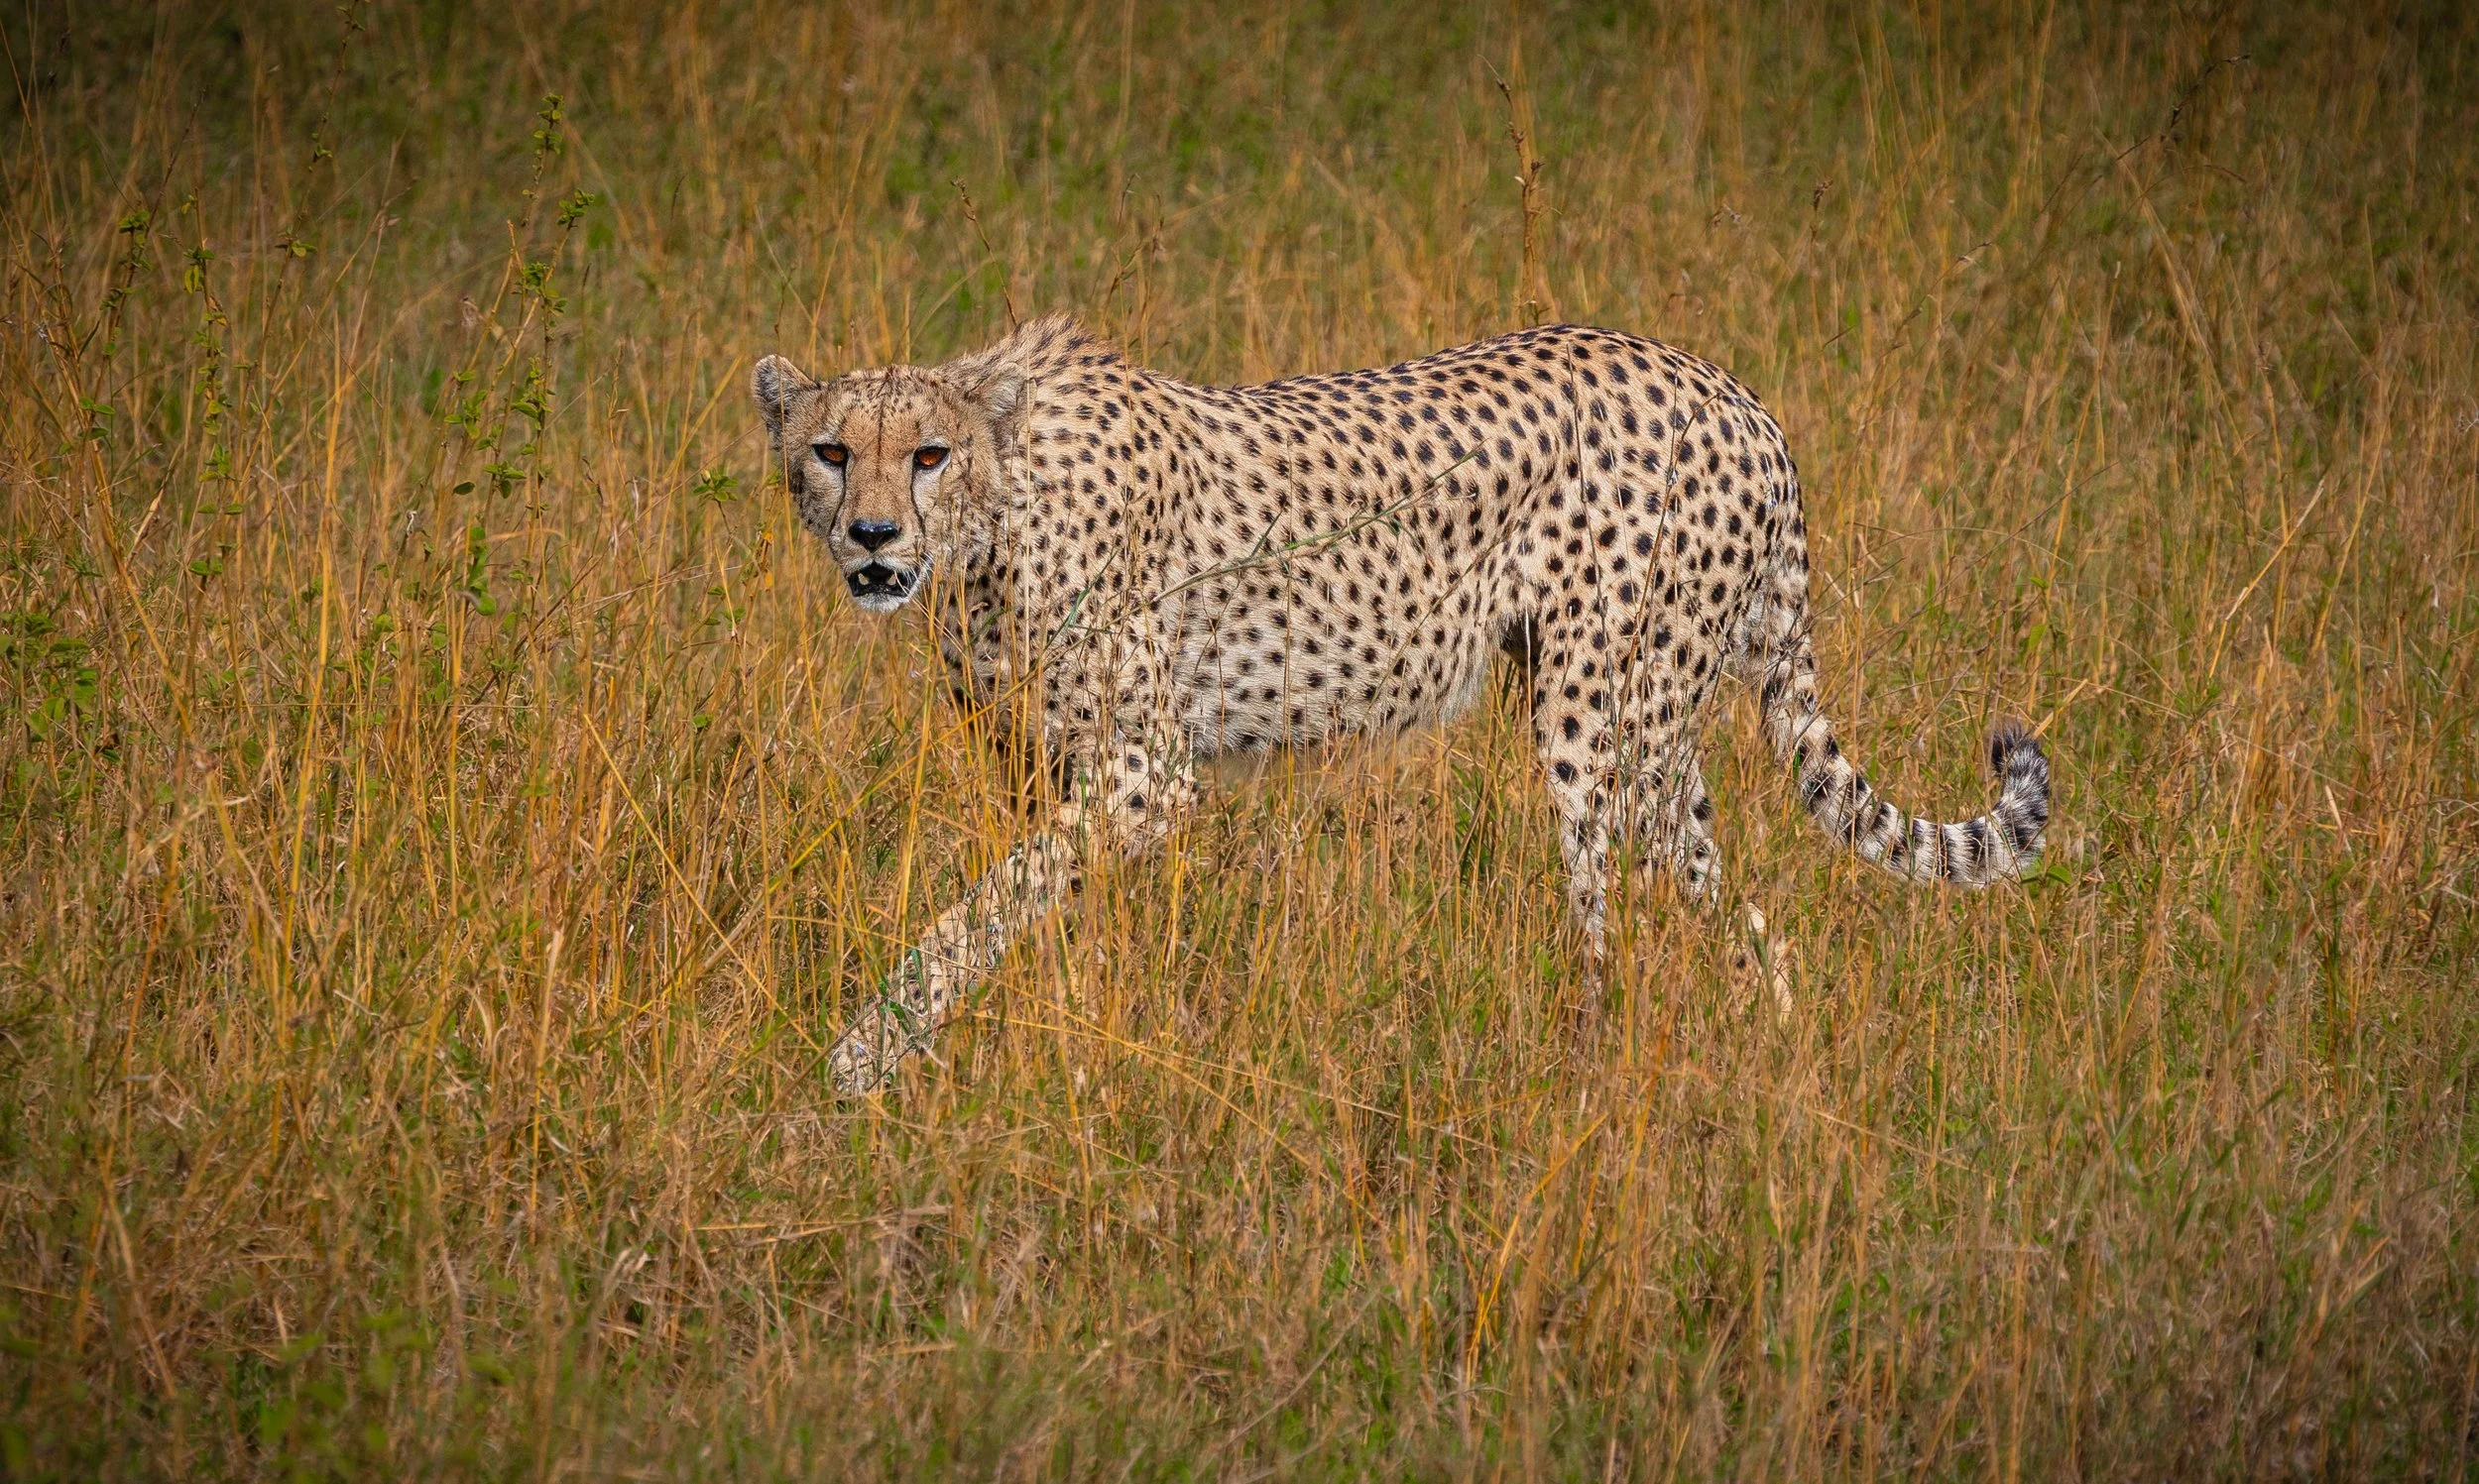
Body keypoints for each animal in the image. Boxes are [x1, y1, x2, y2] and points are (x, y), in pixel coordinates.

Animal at [751, 315, 2051, 1094]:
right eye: (830, 451)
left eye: (926, 453)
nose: (873, 538)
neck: (995, 518)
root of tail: (1731, 392)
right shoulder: (1052, 773)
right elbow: (1038, 906)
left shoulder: (1142, 777)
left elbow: (978, 912)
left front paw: (866, 1053)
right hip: (1655, 744)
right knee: (1734, 917)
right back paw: (1772, 1060)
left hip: (1599, 727)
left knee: (1617, 924)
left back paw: (1586, 1077)